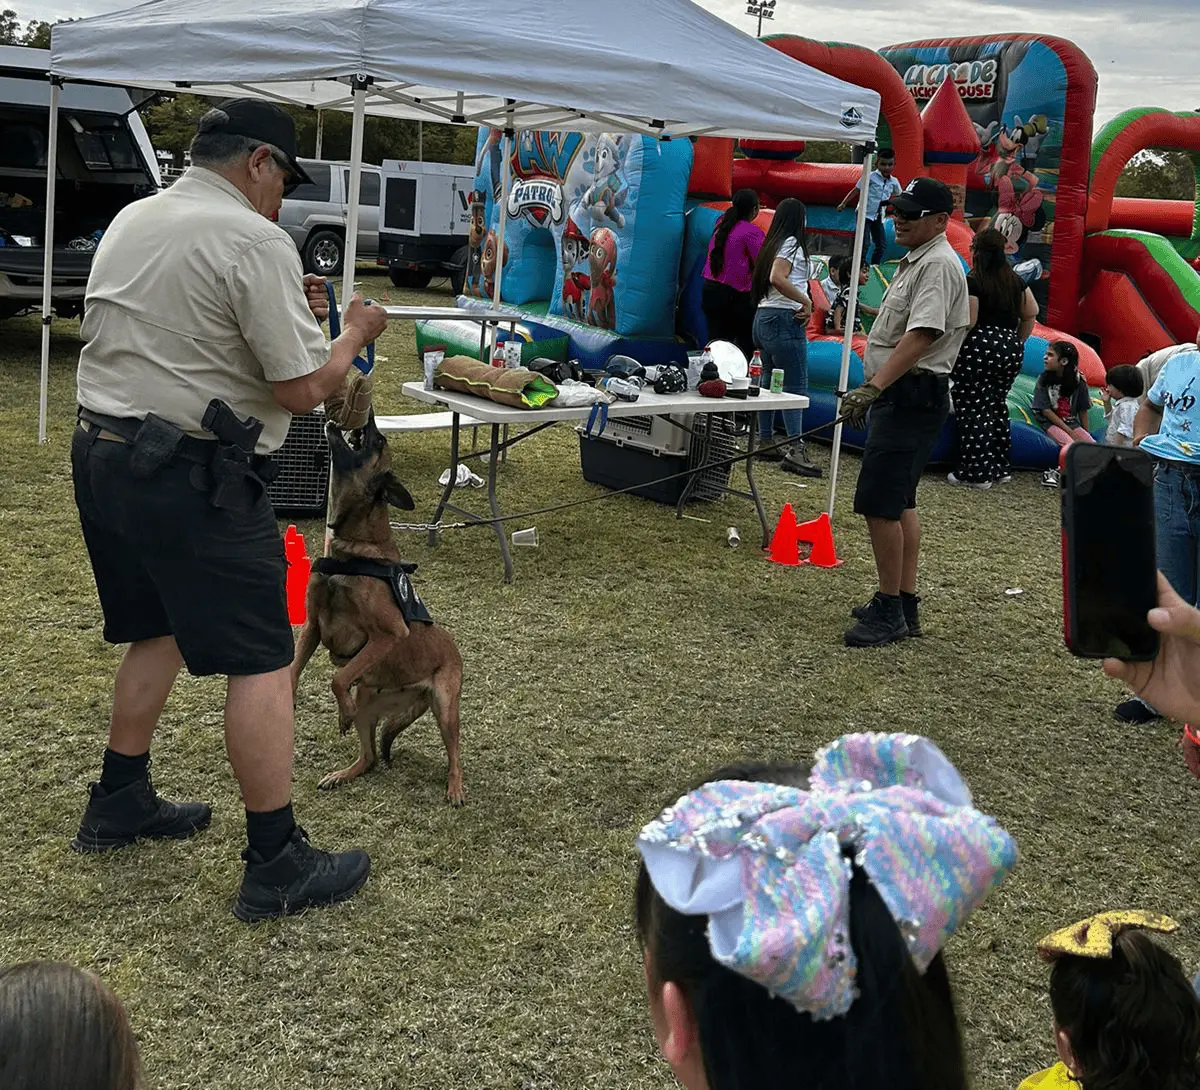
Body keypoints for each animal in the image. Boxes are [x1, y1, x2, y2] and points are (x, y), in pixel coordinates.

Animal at [288, 412, 465, 806]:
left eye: (379, 441)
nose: (368, 416)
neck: (350, 551)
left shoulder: (388, 635)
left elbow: (337, 678)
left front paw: (340, 712)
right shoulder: (312, 628)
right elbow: (293, 670)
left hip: (445, 709)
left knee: (455, 753)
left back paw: (456, 787)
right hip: (370, 701)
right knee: (369, 758)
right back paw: (343, 774)